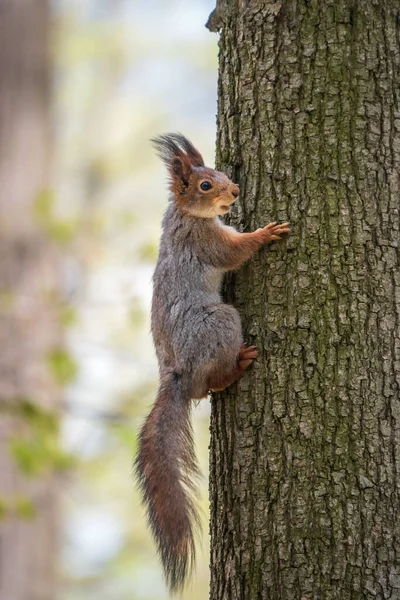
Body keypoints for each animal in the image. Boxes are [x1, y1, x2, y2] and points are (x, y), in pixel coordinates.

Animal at [134, 134, 290, 592]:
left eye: (221, 173)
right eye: (205, 185)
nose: (235, 191)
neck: (184, 214)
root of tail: (177, 375)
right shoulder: (203, 241)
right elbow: (234, 250)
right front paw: (266, 232)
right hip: (219, 322)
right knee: (210, 384)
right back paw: (237, 365)